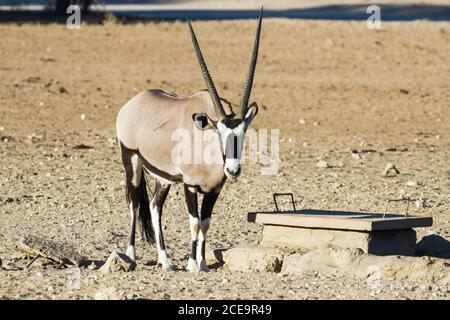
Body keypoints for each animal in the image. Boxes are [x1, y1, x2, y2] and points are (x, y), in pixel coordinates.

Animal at [116, 8, 264, 272]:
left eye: (242, 134)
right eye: (220, 134)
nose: (233, 170)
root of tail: (133, 102)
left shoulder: (214, 189)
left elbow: (205, 222)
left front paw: (203, 263)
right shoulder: (190, 185)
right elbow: (194, 222)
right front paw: (192, 264)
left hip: (162, 177)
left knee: (154, 206)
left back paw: (165, 260)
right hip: (131, 160)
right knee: (134, 204)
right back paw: (131, 255)